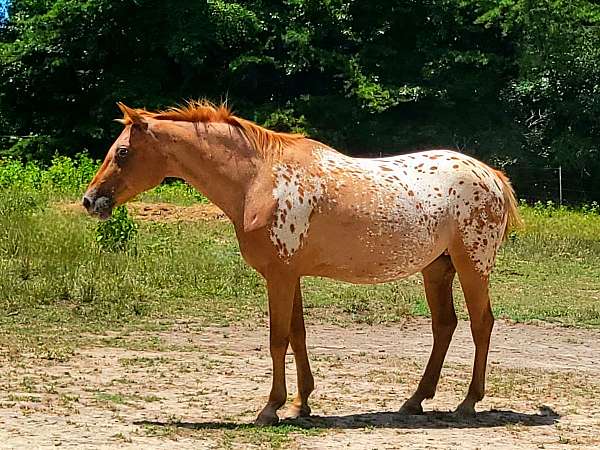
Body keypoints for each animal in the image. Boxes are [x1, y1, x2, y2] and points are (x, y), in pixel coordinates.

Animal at [83, 101, 520, 426]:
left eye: (122, 152)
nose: (90, 200)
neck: (258, 180)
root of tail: (491, 175)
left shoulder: (278, 276)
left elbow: (277, 339)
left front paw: (270, 408)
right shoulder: (290, 275)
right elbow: (298, 335)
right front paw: (300, 403)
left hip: (472, 267)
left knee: (481, 325)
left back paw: (468, 402)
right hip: (437, 269)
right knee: (444, 326)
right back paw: (415, 400)